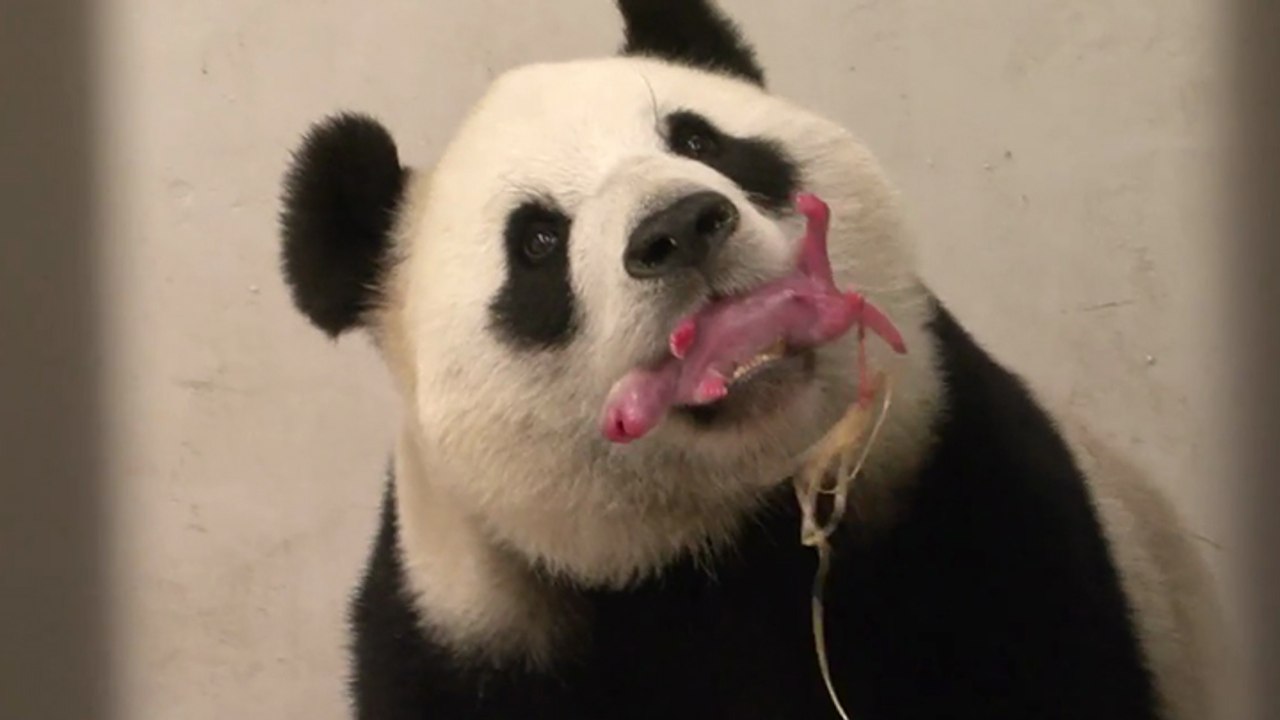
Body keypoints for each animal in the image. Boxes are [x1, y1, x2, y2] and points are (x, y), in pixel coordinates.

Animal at [277, 1, 1223, 718]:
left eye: (700, 141)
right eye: (538, 241)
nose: (681, 227)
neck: (729, 534)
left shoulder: (966, 485)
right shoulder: (470, 628)